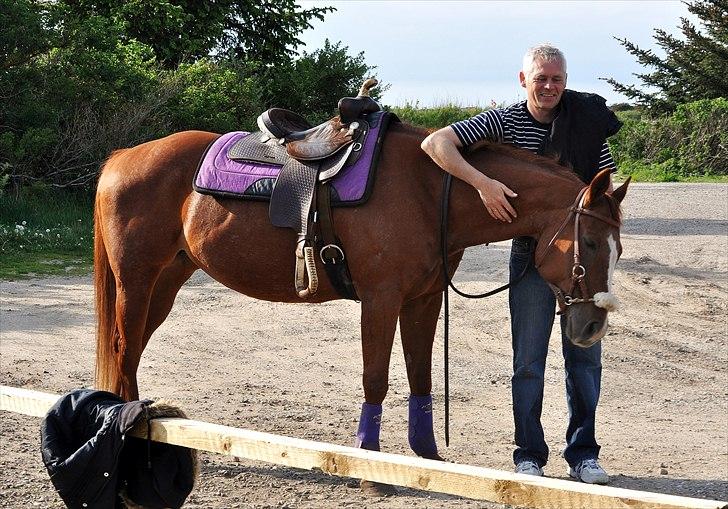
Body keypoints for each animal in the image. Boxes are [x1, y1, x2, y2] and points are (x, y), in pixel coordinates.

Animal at [92, 121, 632, 458]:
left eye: (619, 247)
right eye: (588, 241)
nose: (591, 327)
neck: (429, 192)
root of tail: (122, 157)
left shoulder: (423, 301)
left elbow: (420, 377)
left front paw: (425, 457)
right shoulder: (381, 301)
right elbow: (377, 379)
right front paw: (370, 460)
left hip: (166, 281)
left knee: (130, 348)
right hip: (137, 279)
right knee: (123, 345)